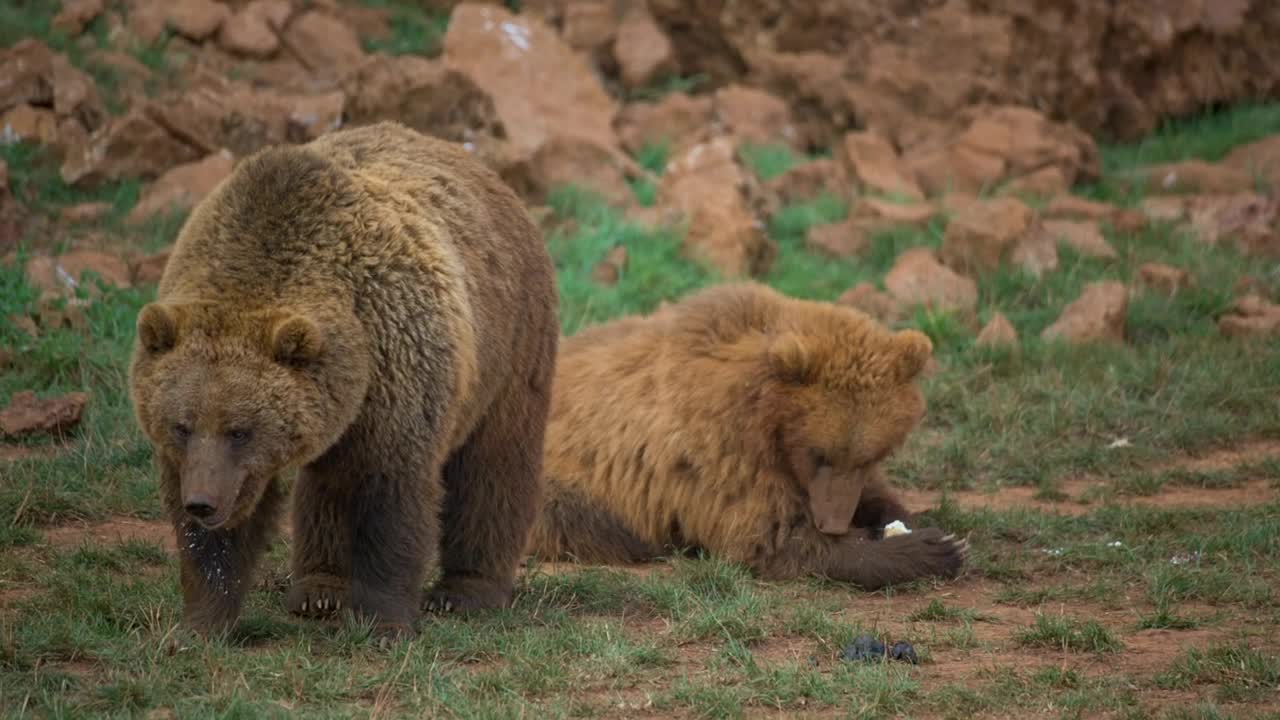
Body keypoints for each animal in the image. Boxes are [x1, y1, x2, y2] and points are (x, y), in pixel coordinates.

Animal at [128, 120, 560, 635]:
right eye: (182, 425)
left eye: (240, 430)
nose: (203, 503)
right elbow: (215, 536)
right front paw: (201, 623)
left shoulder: (396, 364)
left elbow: (391, 496)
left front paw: (383, 620)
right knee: (328, 481)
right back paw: (319, 588)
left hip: (511, 339)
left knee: (492, 465)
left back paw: (467, 591)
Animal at [524, 281, 962, 589]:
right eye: (818, 454)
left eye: (870, 455)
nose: (834, 524)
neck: (769, 423)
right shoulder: (721, 451)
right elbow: (772, 537)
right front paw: (932, 548)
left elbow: (873, 494)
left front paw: (906, 523)